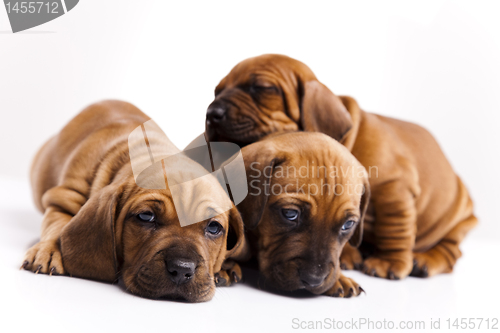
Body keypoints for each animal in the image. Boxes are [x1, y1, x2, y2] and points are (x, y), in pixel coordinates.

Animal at [22, 100, 247, 302]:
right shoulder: (63, 197)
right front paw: (49, 249)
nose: (182, 270)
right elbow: (57, 224)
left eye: (214, 227)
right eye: (146, 217)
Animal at [206, 53, 476, 278]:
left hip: (458, 221)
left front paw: (389, 261)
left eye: (262, 88)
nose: (211, 113)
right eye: (217, 91)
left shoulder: (395, 188)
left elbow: (395, 229)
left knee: (451, 251)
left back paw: (426, 260)